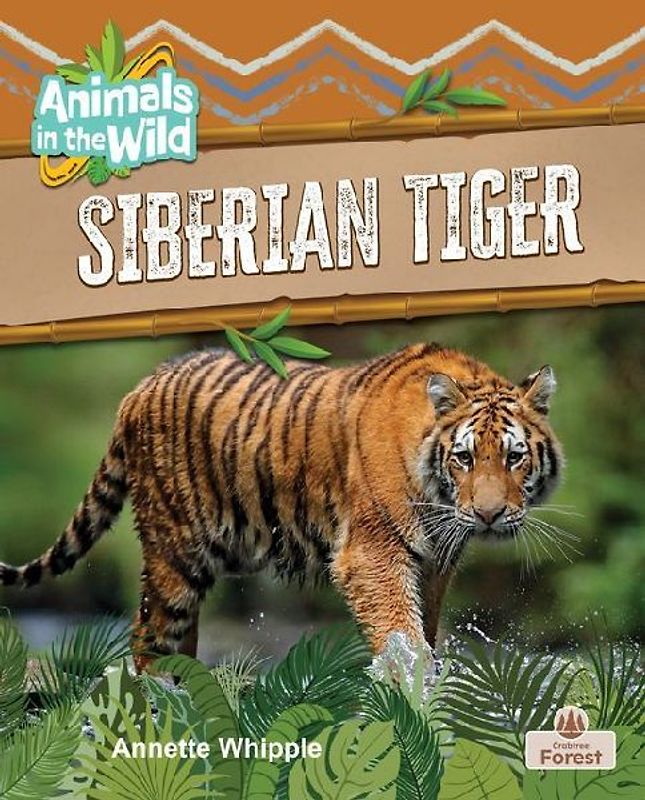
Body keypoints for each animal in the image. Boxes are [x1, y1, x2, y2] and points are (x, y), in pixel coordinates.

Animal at [0, 343, 563, 671]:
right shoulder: (372, 553)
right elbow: (403, 637)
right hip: (173, 555)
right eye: (464, 458)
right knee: (147, 639)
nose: (489, 515)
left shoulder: (435, 563)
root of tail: (140, 387)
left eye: (513, 457)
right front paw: (411, 690)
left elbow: (424, 628)